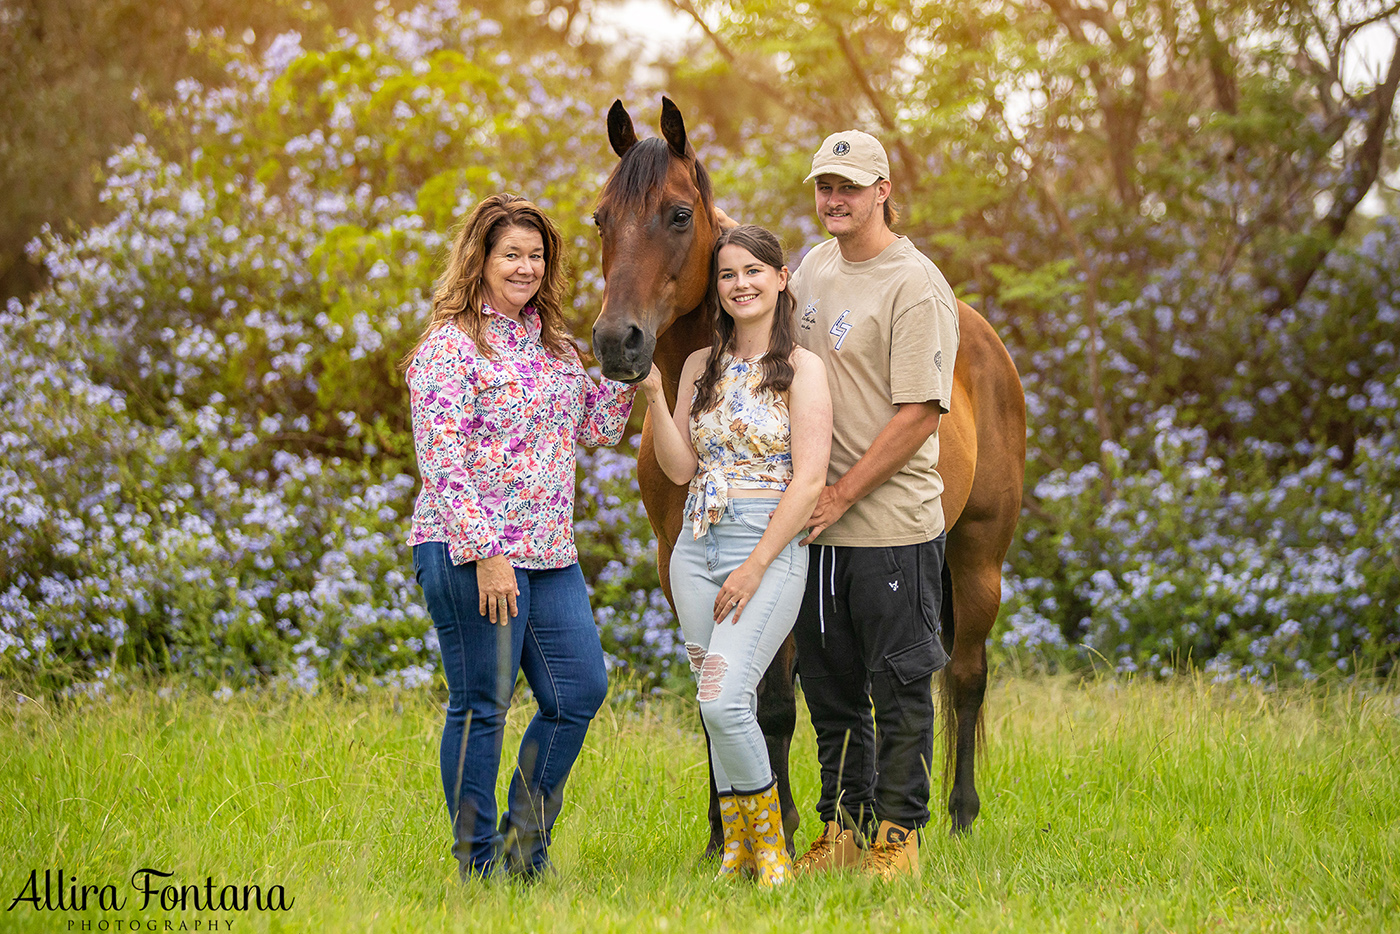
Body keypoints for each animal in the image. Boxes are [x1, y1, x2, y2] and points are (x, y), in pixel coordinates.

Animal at [585, 96, 1024, 856]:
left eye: (677, 214)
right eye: (601, 219)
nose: (618, 343)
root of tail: (979, 337)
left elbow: (770, 704)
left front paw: (777, 829)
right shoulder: (678, 562)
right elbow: (712, 691)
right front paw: (719, 836)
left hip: (977, 558)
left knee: (966, 677)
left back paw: (959, 816)